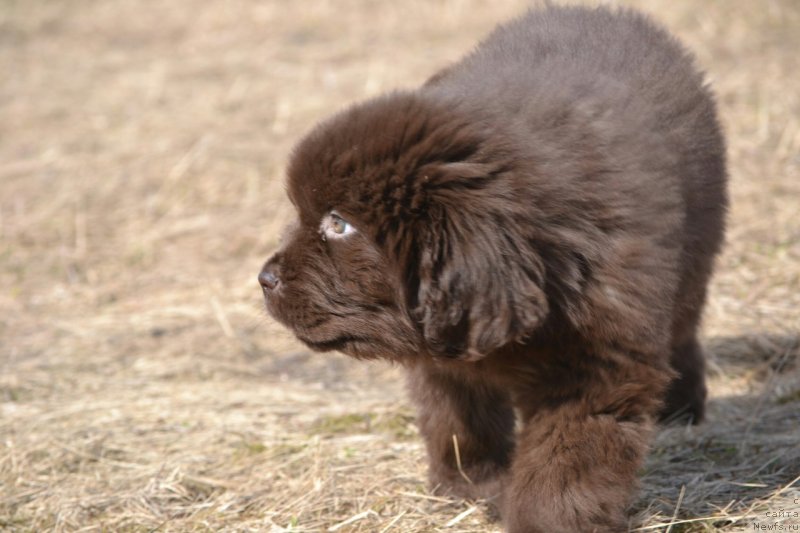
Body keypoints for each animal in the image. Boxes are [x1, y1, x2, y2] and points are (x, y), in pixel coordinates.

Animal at [260, 5, 728, 532]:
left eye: (338, 224)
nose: (264, 279)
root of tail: (605, 12)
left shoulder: (597, 364)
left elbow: (566, 462)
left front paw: (547, 520)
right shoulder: (445, 353)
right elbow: (459, 420)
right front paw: (472, 487)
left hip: (695, 254)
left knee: (683, 327)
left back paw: (682, 408)